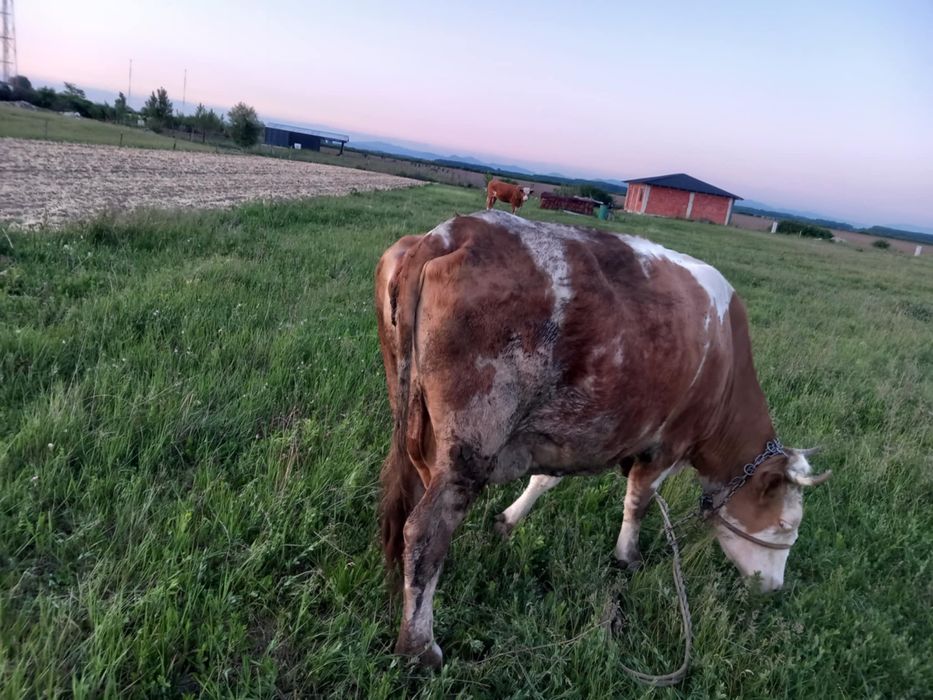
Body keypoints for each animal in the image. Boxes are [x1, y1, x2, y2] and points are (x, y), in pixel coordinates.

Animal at [375, 210, 830, 668]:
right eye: (787, 523)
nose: (774, 588)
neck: (725, 364)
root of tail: (454, 231)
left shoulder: (568, 432)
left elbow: (546, 478)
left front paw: (508, 520)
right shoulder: (668, 442)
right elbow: (639, 499)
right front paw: (627, 557)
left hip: (413, 422)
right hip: (470, 445)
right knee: (426, 531)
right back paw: (420, 647)